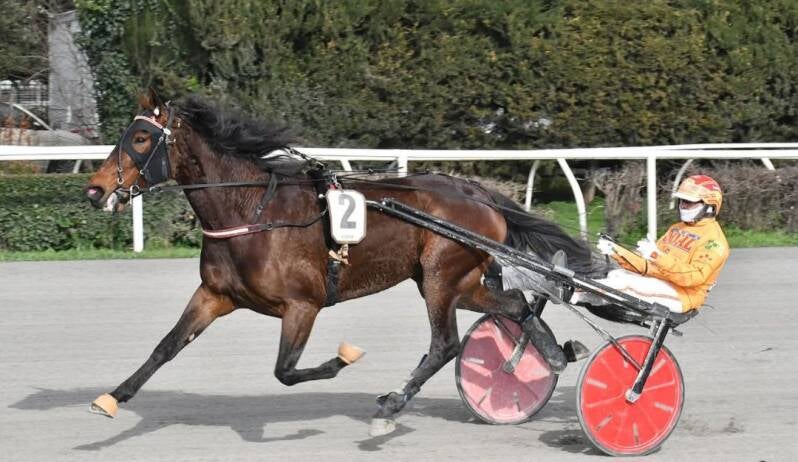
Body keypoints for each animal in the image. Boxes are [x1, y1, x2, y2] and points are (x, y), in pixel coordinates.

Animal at [84, 91, 596, 436]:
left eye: (142, 137)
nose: (94, 189)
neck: (251, 211)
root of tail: (476, 191)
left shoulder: (303, 304)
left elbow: (286, 370)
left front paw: (343, 358)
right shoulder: (214, 295)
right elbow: (166, 347)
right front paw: (112, 397)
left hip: (441, 278)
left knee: (446, 343)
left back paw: (391, 406)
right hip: (460, 281)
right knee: (515, 307)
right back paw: (552, 355)